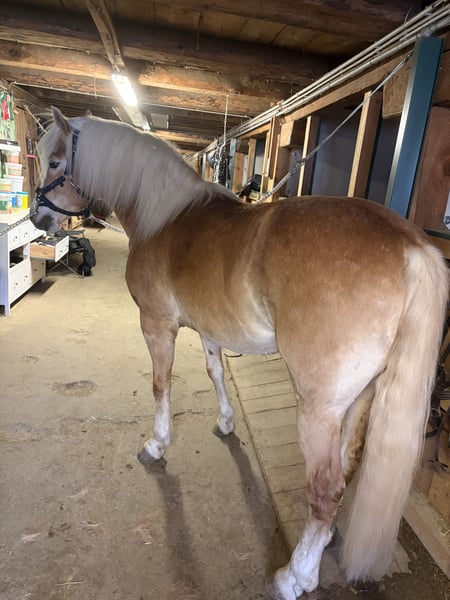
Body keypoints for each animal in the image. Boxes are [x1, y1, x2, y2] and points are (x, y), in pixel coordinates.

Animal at [30, 106, 448, 599]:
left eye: (57, 162)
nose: (37, 218)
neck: (164, 217)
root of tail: (412, 246)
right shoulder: (209, 330)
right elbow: (216, 373)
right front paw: (226, 423)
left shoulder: (157, 326)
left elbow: (160, 384)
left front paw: (157, 444)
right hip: (360, 399)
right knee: (346, 468)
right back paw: (324, 541)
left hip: (319, 410)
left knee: (325, 490)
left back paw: (295, 576)